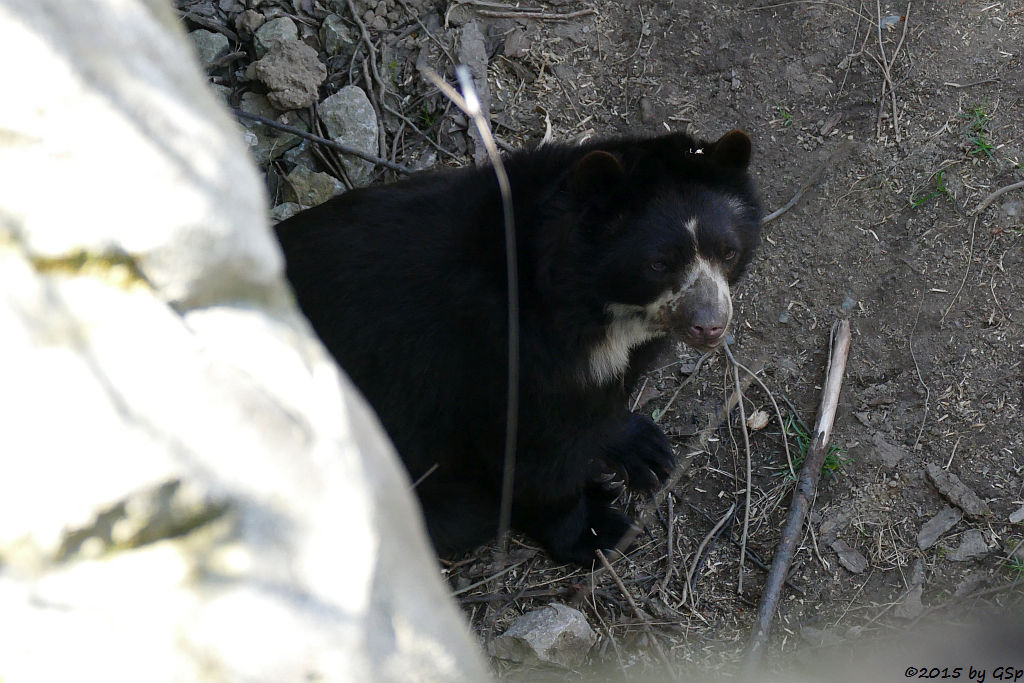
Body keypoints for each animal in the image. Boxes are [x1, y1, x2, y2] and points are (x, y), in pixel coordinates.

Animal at [274, 129, 761, 565]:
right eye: (658, 264)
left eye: (728, 252)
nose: (710, 326)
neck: (597, 309)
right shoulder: (499, 352)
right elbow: (531, 454)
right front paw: (595, 530)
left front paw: (642, 446)